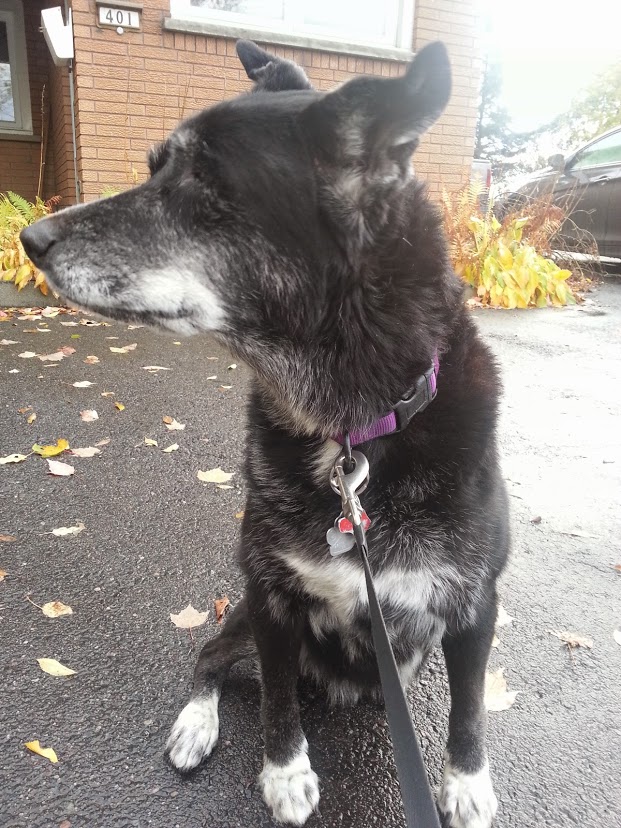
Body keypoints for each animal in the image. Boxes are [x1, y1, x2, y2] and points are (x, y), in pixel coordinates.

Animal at [21, 39, 510, 828]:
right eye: (155, 167)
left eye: (200, 182)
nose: (28, 237)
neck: (348, 436)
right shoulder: (271, 596)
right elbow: (278, 697)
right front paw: (284, 773)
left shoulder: (472, 606)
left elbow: (468, 707)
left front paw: (466, 783)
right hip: (243, 612)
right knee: (210, 659)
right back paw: (195, 726)